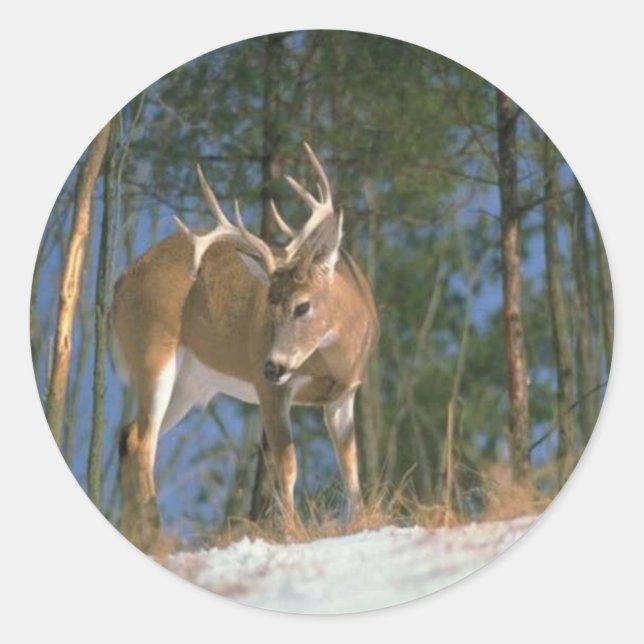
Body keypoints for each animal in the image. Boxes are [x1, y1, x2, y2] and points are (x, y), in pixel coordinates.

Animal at [111, 143, 379, 551]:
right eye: (269, 303)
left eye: (303, 305)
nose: (273, 365)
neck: (332, 359)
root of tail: (119, 284)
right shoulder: (270, 390)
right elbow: (286, 463)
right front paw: (293, 532)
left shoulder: (344, 393)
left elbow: (350, 463)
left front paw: (360, 524)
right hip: (153, 351)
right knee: (144, 442)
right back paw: (157, 539)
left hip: (189, 385)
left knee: (128, 435)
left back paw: (134, 535)